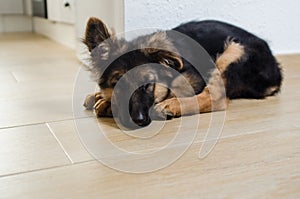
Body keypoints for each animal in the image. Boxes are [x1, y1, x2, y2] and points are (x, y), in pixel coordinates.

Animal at [83, 17, 282, 129]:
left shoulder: (192, 76)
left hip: (234, 50)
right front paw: (101, 97)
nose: (137, 120)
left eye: (148, 84)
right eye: (118, 83)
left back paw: (171, 106)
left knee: (216, 98)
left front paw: (106, 104)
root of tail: (276, 71)